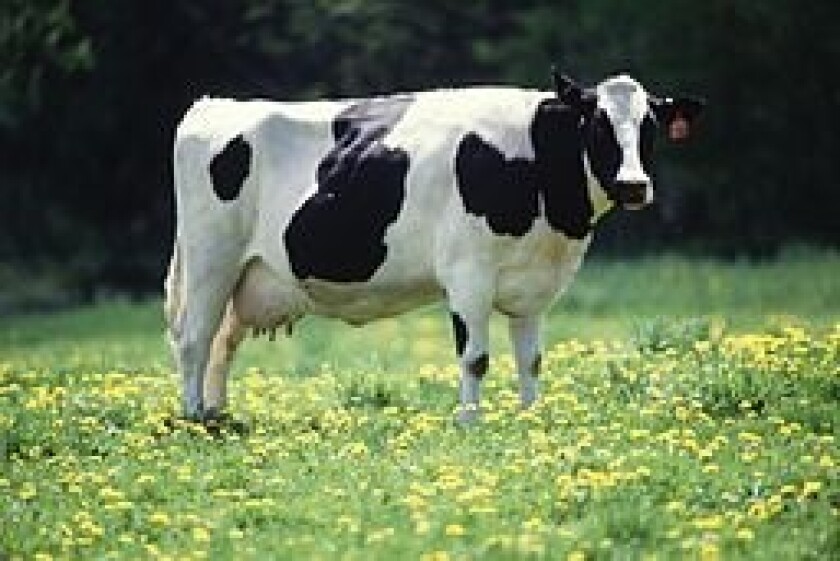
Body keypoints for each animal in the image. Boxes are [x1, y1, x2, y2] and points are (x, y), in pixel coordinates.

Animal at [164, 70, 703, 423]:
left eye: (650, 127)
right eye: (596, 125)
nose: (633, 185)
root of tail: (214, 104)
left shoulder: (534, 286)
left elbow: (530, 359)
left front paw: (532, 419)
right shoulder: (468, 273)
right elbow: (475, 358)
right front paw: (469, 424)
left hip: (247, 276)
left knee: (222, 343)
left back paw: (218, 416)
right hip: (211, 259)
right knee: (193, 340)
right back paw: (193, 418)